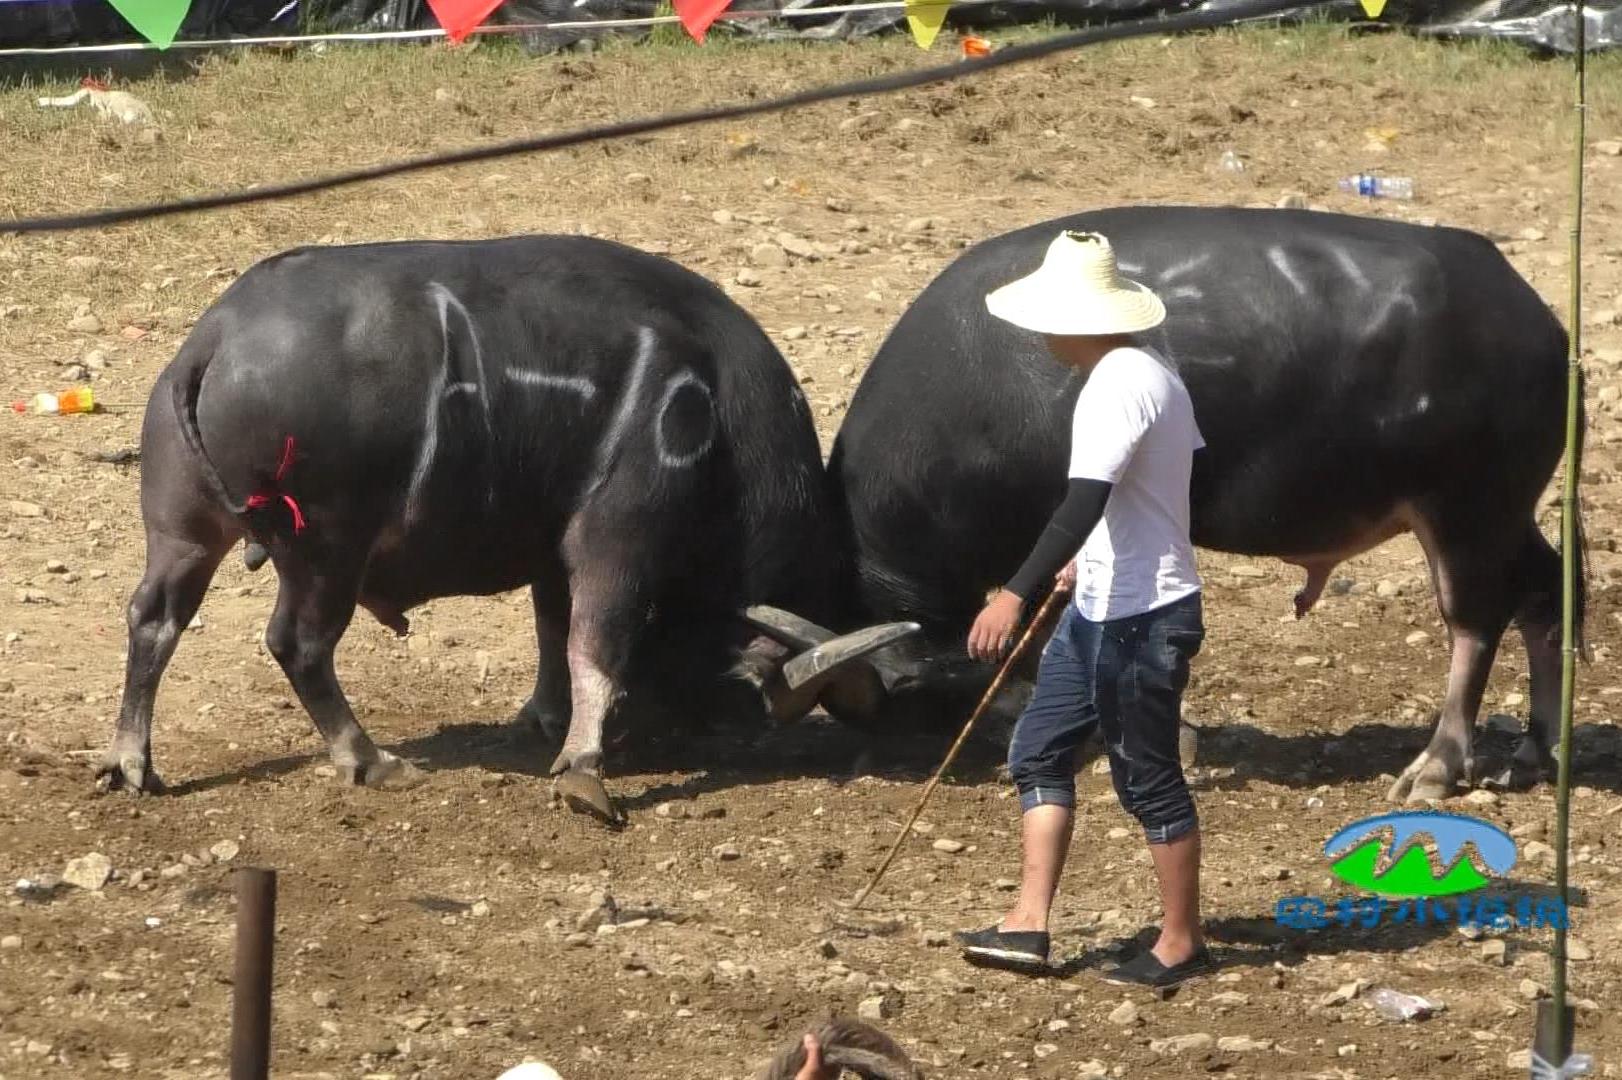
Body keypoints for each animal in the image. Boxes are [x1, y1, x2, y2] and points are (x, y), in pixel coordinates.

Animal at [98, 233, 914, 817]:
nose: (675, 729)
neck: (714, 406)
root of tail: (216, 340)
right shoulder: (616, 538)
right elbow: (595, 643)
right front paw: (584, 767)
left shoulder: (553, 551)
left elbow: (553, 630)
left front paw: (547, 717)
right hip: (325, 548)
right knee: (297, 645)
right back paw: (366, 758)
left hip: (185, 536)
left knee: (154, 620)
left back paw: (132, 761)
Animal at [830, 205, 1589, 804]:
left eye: (897, 699)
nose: (868, 756)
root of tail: (1544, 327)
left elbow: (1034, 641)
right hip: (1505, 514)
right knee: (1546, 593)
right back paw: (1535, 751)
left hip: (1468, 511)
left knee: (1476, 620)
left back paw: (1437, 766)